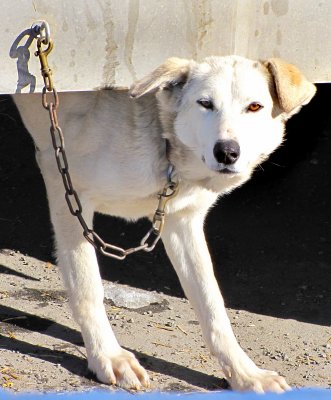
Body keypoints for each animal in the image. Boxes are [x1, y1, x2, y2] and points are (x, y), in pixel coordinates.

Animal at [13, 56, 318, 394]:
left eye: (254, 107)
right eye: (205, 103)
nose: (227, 152)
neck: (165, 144)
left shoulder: (182, 222)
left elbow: (213, 306)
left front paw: (245, 374)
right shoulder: (66, 190)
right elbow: (87, 287)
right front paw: (108, 356)